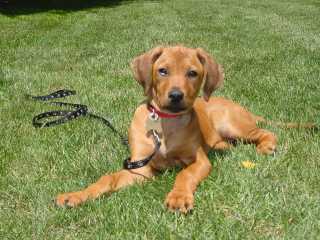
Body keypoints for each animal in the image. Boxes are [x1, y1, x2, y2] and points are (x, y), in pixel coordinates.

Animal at [55, 46, 278, 213]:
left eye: (192, 73)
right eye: (162, 71)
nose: (176, 95)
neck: (167, 123)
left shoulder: (199, 161)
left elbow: (185, 174)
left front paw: (178, 197)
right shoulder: (141, 167)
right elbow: (108, 178)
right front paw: (76, 195)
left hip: (232, 124)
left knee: (264, 132)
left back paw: (267, 145)